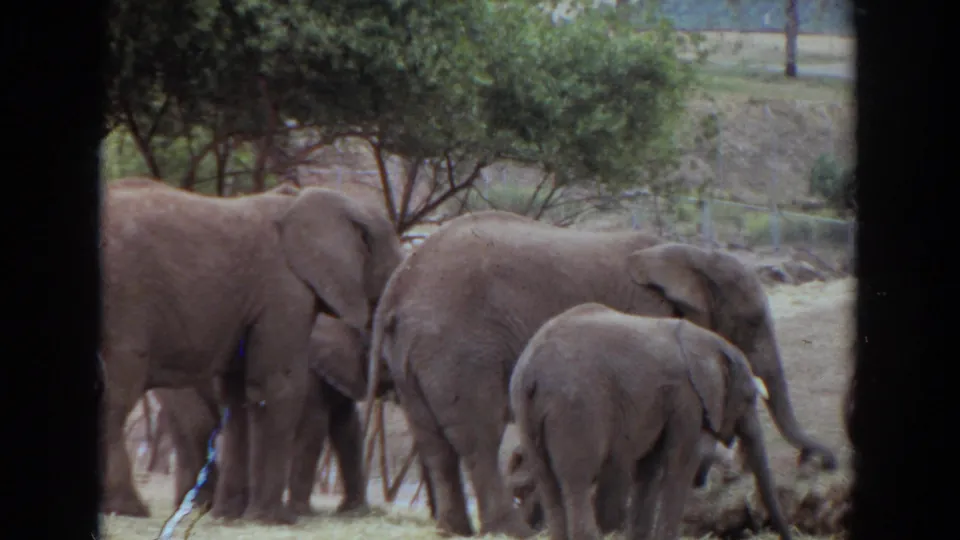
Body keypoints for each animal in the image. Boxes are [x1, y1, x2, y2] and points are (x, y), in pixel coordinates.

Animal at [152, 312, 393, 515]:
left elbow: (347, 427)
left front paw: (353, 511)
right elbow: (314, 426)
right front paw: (302, 513)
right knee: (199, 429)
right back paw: (197, 507)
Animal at [508, 303, 792, 540]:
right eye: (748, 398)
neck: (707, 342)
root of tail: (532, 370)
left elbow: (649, 469)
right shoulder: (687, 399)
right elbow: (680, 463)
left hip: (525, 410)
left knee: (548, 484)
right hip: (576, 409)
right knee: (577, 481)